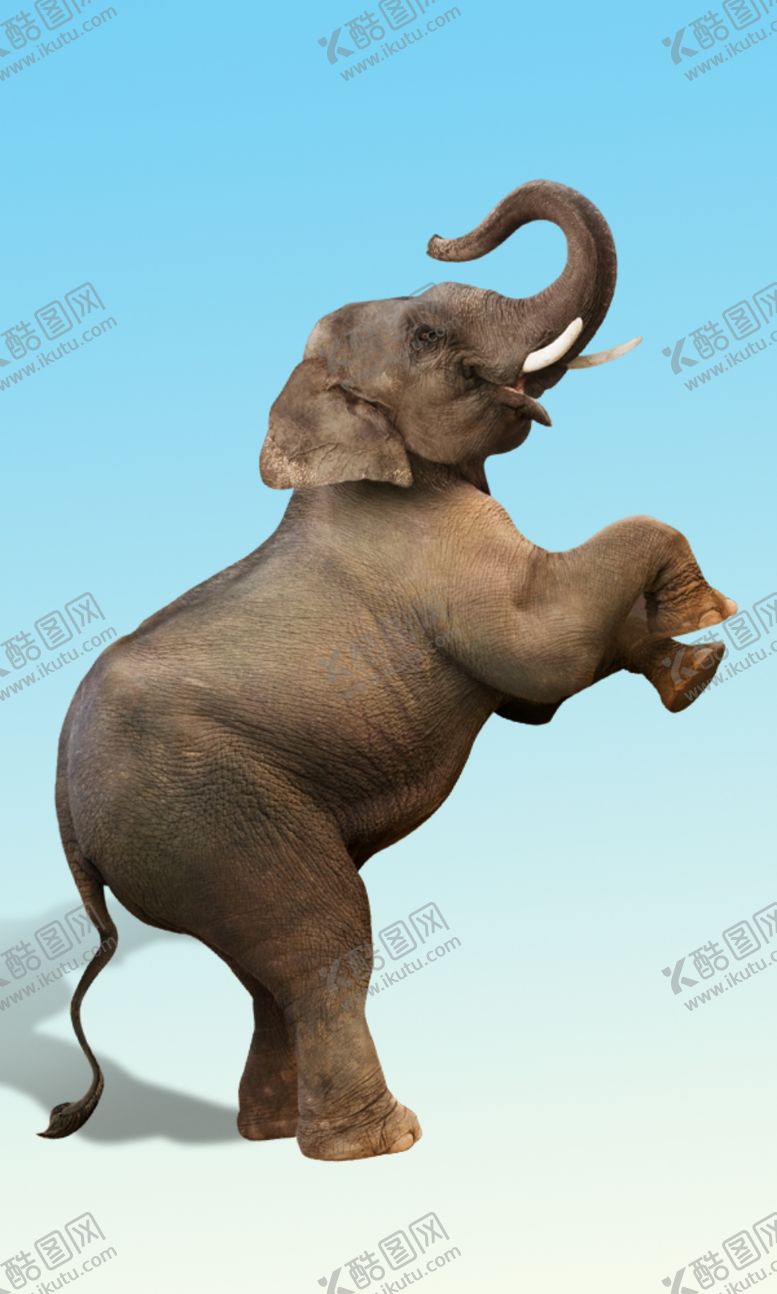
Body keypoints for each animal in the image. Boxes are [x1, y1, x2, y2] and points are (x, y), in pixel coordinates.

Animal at [42, 180, 736, 1160]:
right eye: (428, 337)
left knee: (266, 971)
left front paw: (695, 673)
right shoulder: (433, 560)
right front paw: (711, 618)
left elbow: (539, 691)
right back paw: (380, 1142)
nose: (442, 234)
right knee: (326, 939)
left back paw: (267, 1133)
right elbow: (544, 650)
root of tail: (67, 824)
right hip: (207, 812)